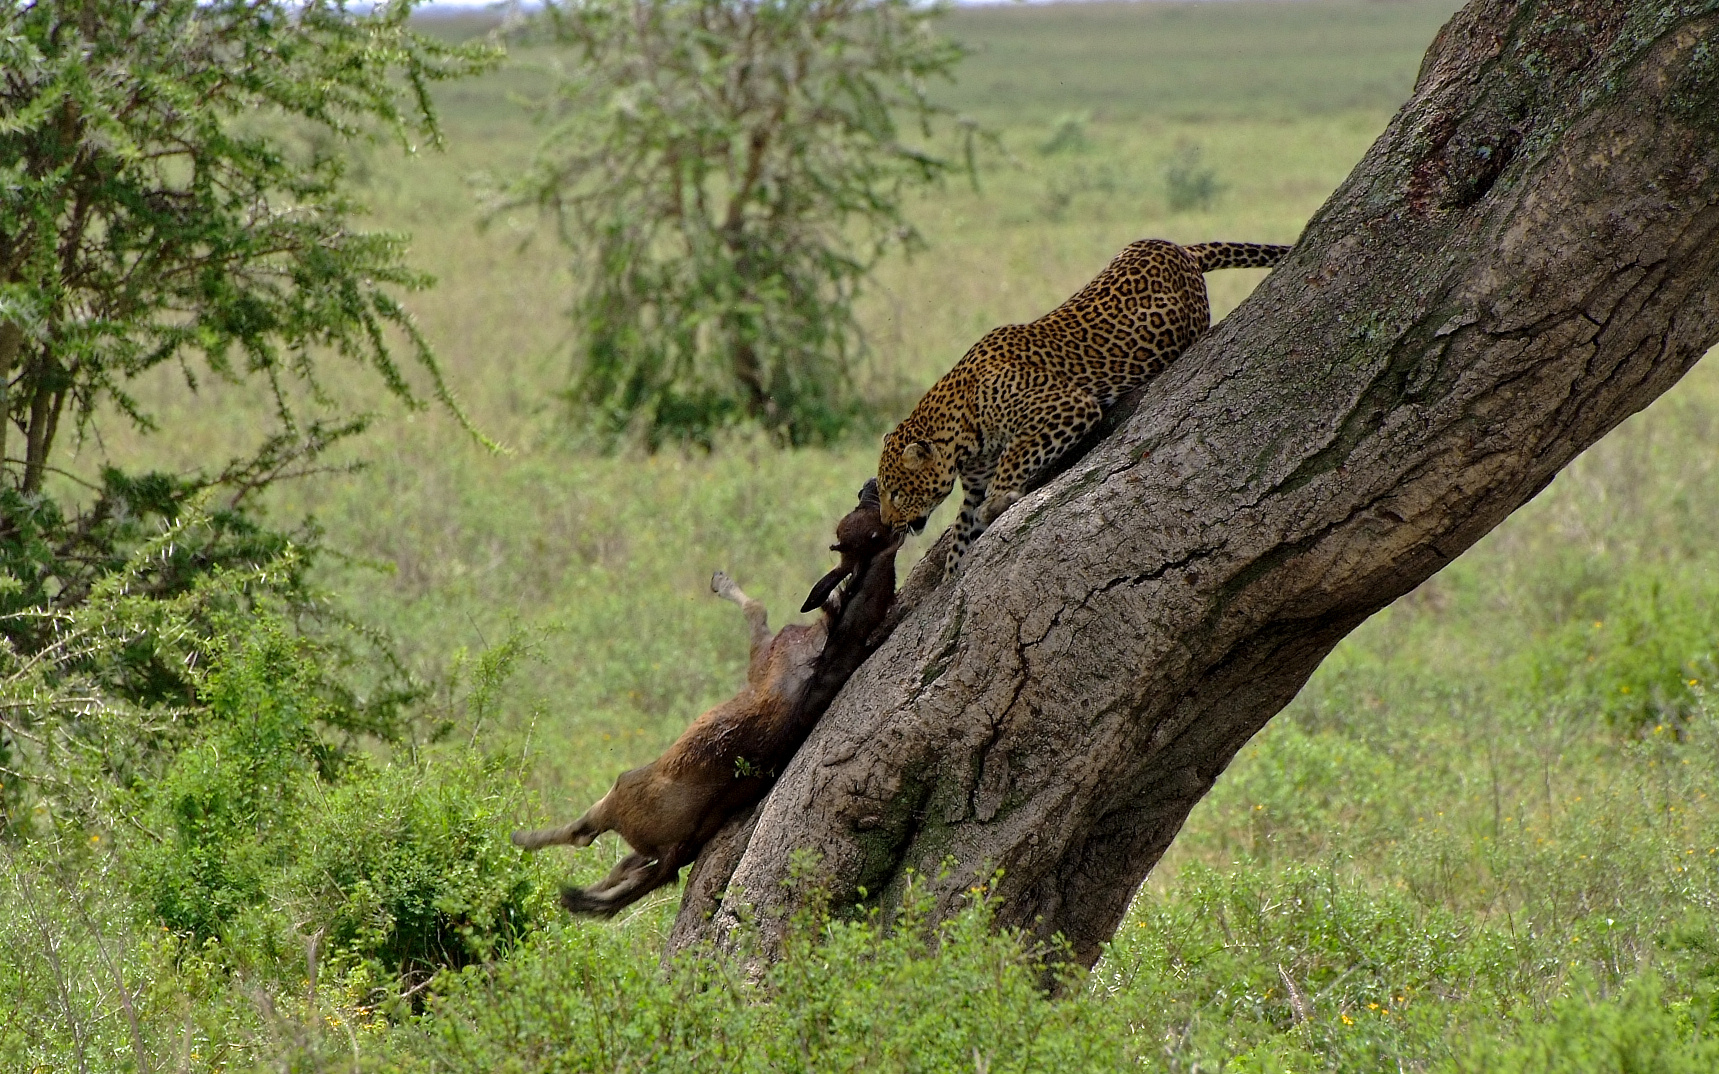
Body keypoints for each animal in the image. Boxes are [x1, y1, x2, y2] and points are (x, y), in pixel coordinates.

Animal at [873, 238, 1292, 573]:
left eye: (895, 493)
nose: (888, 524)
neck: (959, 433)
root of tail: (1176, 246)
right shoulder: (974, 481)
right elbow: (961, 529)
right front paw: (952, 571)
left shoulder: (1068, 406)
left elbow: (1015, 456)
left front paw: (1000, 501)